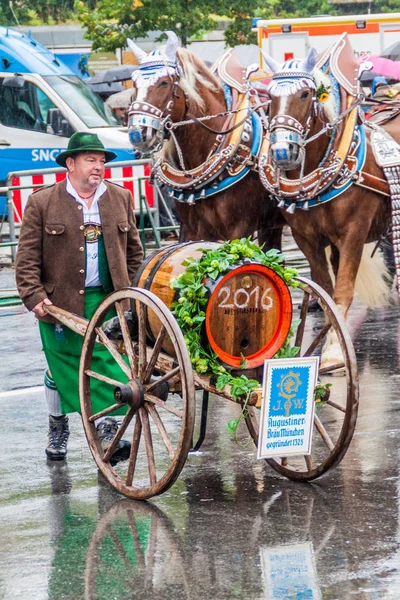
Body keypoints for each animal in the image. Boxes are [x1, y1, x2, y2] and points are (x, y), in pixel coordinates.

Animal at [260, 37, 396, 368]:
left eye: (305, 94)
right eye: (270, 96)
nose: (282, 151)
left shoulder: (354, 233)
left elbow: (343, 290)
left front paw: (334, 352)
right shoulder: (306, 238)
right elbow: (326, 292)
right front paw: (334, 342)